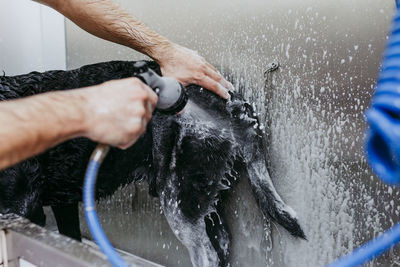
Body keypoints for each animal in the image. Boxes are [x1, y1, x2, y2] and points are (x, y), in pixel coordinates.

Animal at [0, 61, 304, 267]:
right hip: (202, 193)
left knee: (206, 253)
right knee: (222, 243)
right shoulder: (63, 201)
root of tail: (229, 106)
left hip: (178, 200)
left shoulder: (20, 209)